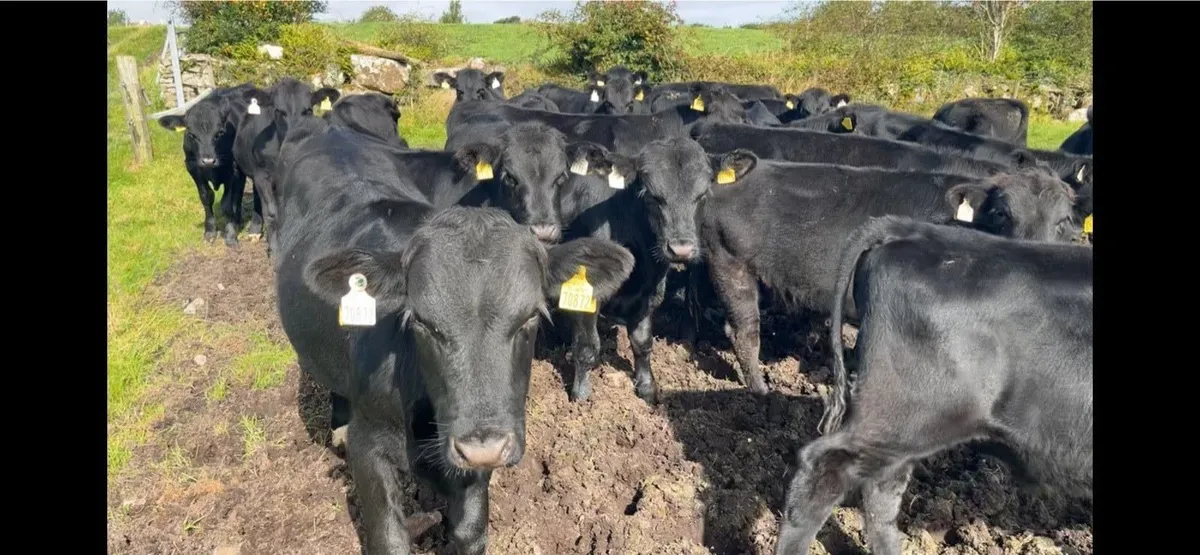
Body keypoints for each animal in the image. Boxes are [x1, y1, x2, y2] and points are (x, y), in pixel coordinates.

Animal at [157, 82, 257, 246]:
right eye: (191, 134)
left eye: (219, 133)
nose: (208, 160)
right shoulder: (192, 167)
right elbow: (206, 196)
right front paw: (209, 231)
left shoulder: (234, 169)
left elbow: (227, 203)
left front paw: (230, 235)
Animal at [232, 77, 340, 254]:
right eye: (279, 111)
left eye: (307, 110)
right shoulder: (262, 175)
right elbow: (271, 212)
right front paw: (275, 248)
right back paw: (255, 231)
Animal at [273, 122, 636, 554]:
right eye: (421, 321)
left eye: (530, 316)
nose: (483, 447)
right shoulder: (370, 446)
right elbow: (389, 537)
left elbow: (470, 529)